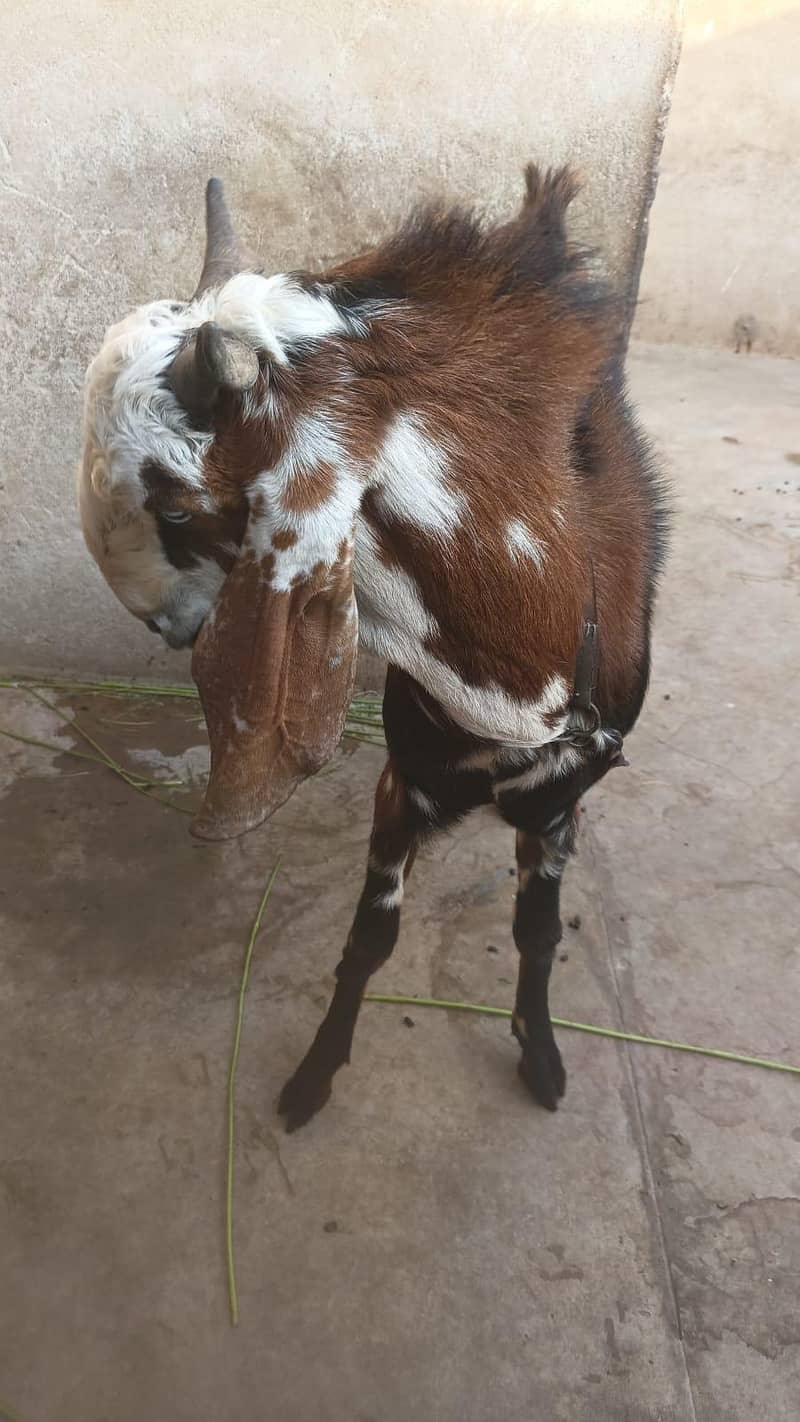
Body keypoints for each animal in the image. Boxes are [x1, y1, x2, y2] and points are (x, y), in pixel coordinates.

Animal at [79, 168, 668, 1131]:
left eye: (175, 507)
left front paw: (541, 1054)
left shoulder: (555, 806)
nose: (162, 625)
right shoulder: (405, 782)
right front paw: (313, 1078)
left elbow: (538, 932)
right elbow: (368, 939)